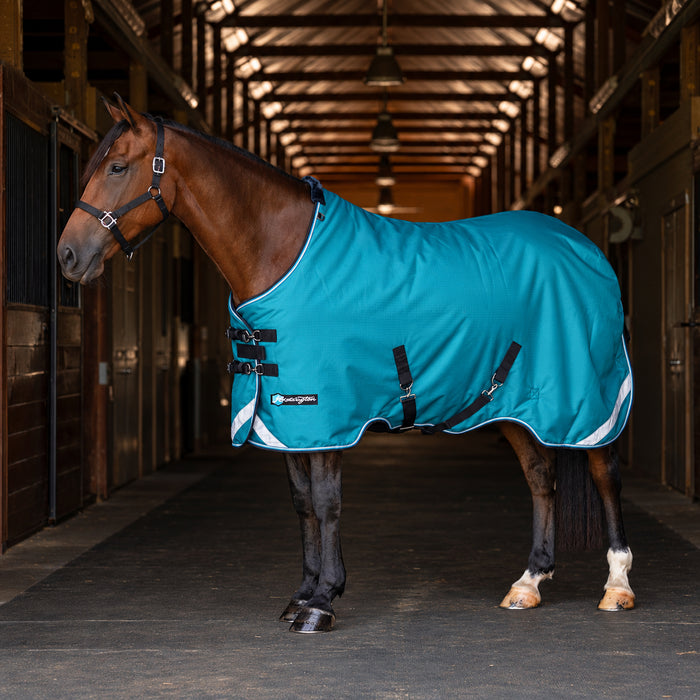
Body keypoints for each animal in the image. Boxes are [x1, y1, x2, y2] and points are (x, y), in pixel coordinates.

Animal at [57, 95, 635, 633]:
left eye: (116, 167)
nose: (67, 256)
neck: (282, 253)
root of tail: (583, 246)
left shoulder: (326, 410)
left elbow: (327, 501)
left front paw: (322, 602)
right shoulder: (285, 416)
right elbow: (302, 504)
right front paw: (302, 595)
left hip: (591, 399)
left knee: (604, 474)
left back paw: (617, 586)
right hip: (515, 402)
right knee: (541, 477)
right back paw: (528, 582)